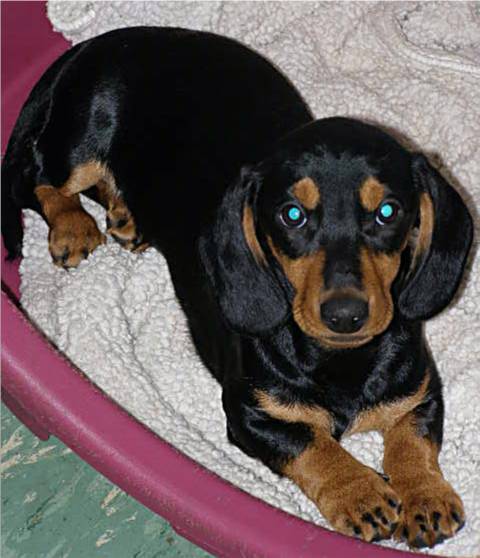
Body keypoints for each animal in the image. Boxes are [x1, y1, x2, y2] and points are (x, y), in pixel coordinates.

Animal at [1, 27, 474, 552]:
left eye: (388, 211)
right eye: (292, 215)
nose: (345, 315)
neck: (340, 358)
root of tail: (103, 41)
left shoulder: (420, 393)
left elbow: (412, 440)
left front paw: (425, 497)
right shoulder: (251, 414)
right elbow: (312, 446)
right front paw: (359, 493)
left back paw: (125, 217)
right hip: (81, 138)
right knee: (37, 180)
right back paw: (72, 227)